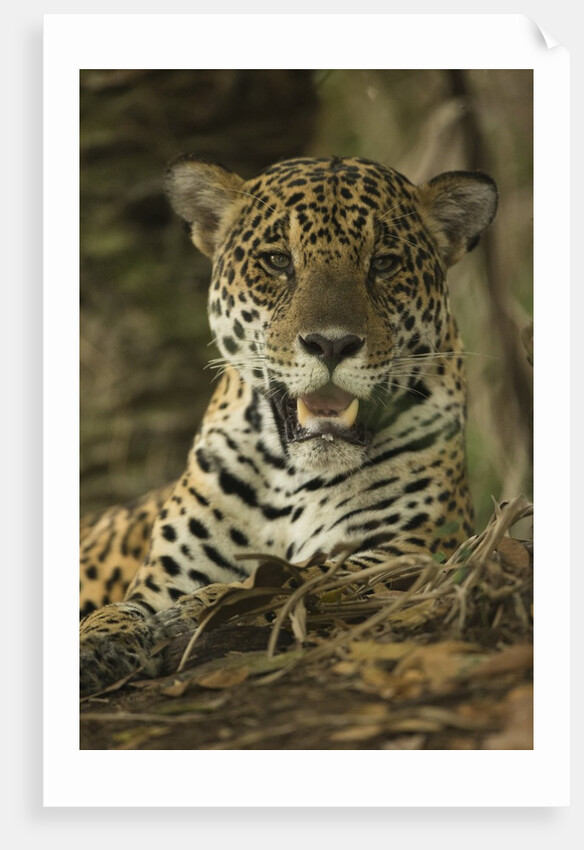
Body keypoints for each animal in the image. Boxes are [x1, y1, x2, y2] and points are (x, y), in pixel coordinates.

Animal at [80, 153, 497, 696]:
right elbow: (118, 610)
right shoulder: (162, 578)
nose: (332, 344)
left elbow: (302, 577)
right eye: (278, 261)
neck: (293, 477)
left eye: (383, 263)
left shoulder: (406, 551)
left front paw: (198, 611)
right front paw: (96, 642)